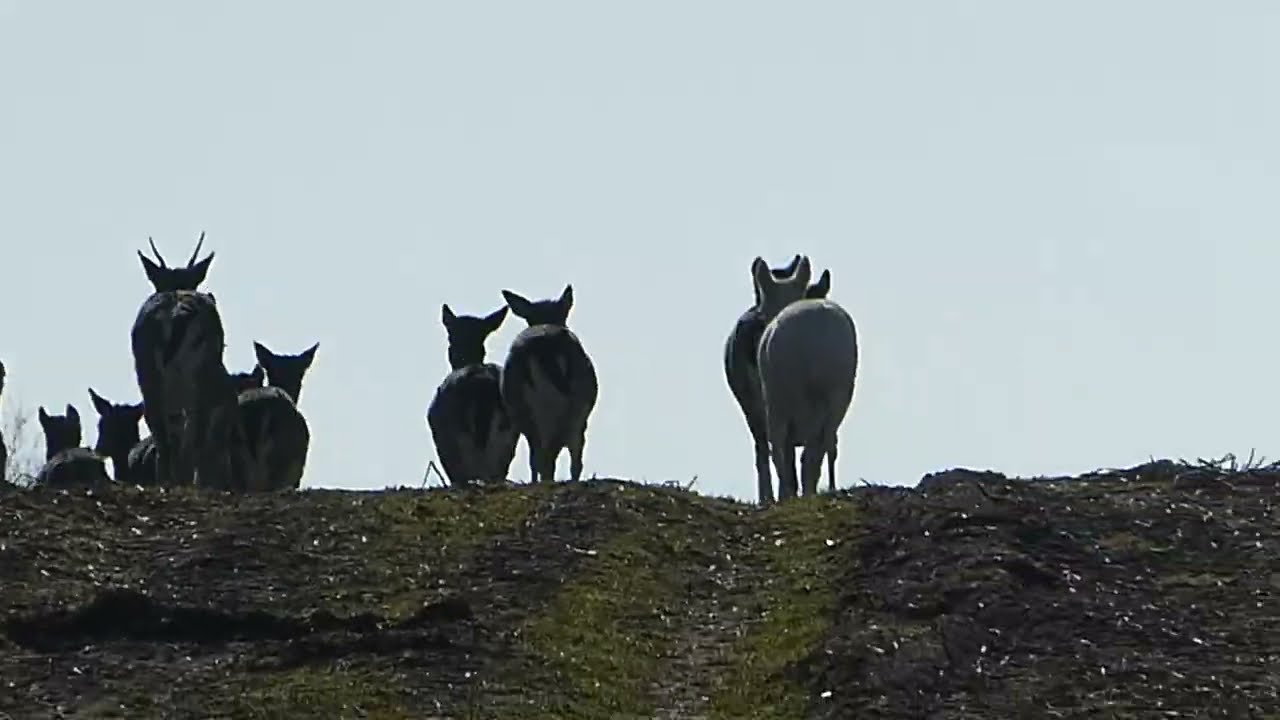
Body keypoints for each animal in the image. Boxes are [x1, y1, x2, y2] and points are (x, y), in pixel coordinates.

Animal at [130, 233, 249, 491]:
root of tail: (175, 314)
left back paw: (168, 482)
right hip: (197, 376)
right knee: (194, 436)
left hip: (147, 373)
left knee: (160, 429)